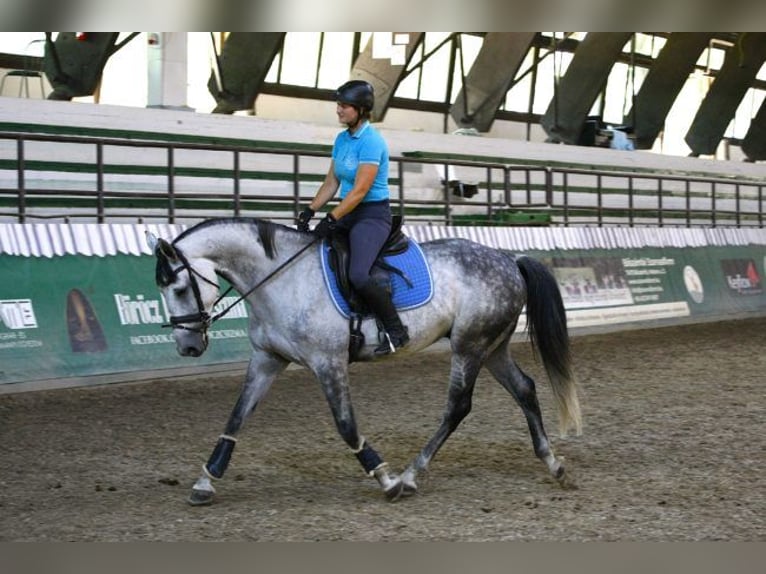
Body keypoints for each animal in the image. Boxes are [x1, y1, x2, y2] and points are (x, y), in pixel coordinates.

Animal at [146, 217, 582, 506]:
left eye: (181, 288)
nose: (188, 346)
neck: (281, 279)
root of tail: (510, 259)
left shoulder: (328, 362)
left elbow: (346, 425)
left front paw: (386, 479)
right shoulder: (268, 359)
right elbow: (236, 417)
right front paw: (206, 481)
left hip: (470, 347)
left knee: (458, 406)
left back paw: (410, 475)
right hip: (491, 348)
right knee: (525, 389)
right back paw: (554, 465)